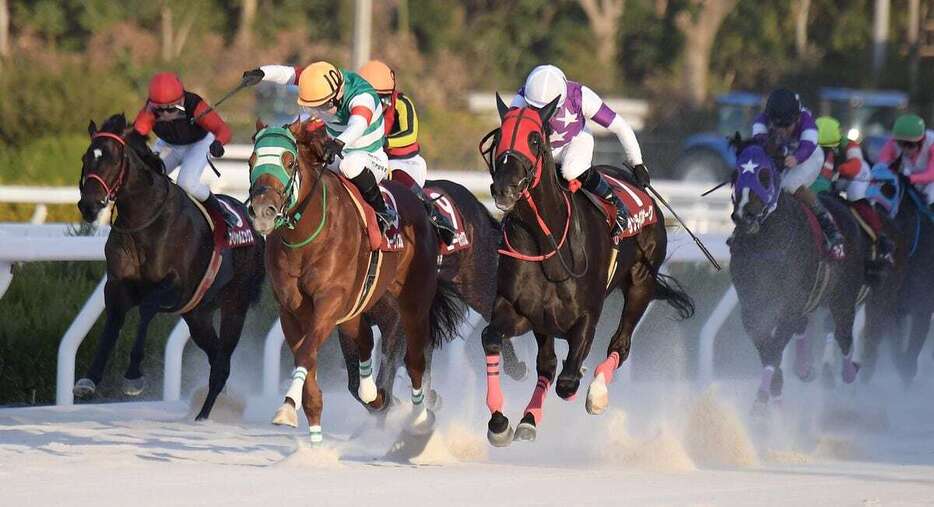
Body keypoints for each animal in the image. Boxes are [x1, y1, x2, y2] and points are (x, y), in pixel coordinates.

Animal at [74, 114, 266, 420]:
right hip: (198, 315)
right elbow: (113, 323)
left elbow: (146, 309)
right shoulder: (116, 285)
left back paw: (203, 416)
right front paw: (88, 380)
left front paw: (133, 376)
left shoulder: (176, 287)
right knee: (216, 355)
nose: (89, 205)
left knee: (223, 361)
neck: (144, 221)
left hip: (235, 305)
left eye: (113, 160)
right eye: (86, 157)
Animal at [247, 118, 462, 444]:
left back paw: (419, 416)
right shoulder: (291, 310)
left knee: (414, 361)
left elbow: (308, 351)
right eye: (251, 162)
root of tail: (423, 209)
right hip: (356, 314)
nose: (262, 211)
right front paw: (311, 435)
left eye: (289, 161)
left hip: (412, 305)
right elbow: (307, 358)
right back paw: (378, 395)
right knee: (365, 349)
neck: (304, 239)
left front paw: (287, 406)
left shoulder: (330, 302)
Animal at [478, 97, 692, 446]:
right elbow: (492, 339)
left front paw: (585, 386)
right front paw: (500, 422)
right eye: (499, 138)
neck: (547, 241)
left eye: (534, 139)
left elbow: (568, 381)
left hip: (641, 283)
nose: (504, 189)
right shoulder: (520, 310)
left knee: (619, 344)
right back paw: (529, 419)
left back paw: (596, 394)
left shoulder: (587, 316)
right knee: (547, 364)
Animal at [732, 142, 872, 408]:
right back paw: (805, 369)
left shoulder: (791, 304)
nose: (743, 216)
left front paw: (761, 402)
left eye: (764, 175)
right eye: (735, 174)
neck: (768, 242)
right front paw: (776, 388)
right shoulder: (751, 307)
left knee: (843, 335)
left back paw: (849, 373)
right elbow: (766, 347)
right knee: (805, 327)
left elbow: (774, 351)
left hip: (843, 297)